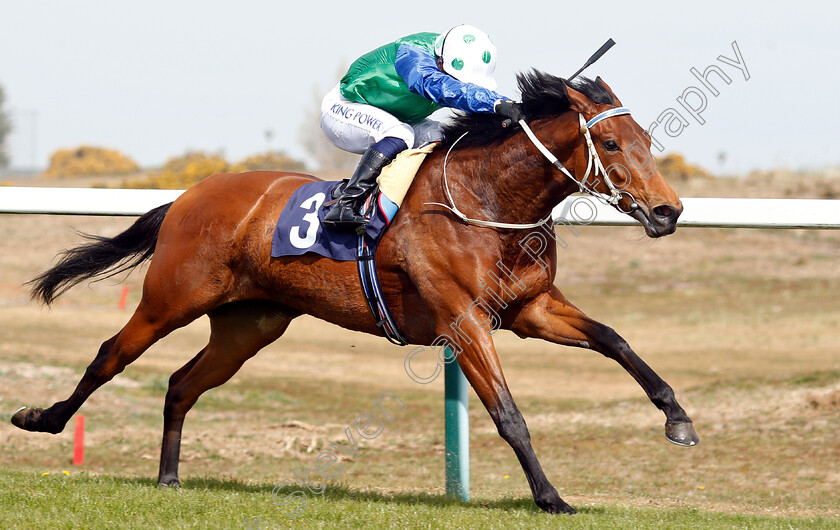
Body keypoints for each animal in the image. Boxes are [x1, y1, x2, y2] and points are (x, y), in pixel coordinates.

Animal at [13, 71, 696, 512]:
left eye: (647, 142)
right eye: (611, 143)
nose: (668, 212)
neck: (487, 200)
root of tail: (187, 195)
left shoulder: (530, 308)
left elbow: (615, 340)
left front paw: (678, 420)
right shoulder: (463, 320)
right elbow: (508, 413)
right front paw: (551, 497)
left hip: (249, 324)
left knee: (182, 384)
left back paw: (169, 478)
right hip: (170, 300)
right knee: (110, 355)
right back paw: (41, 418)